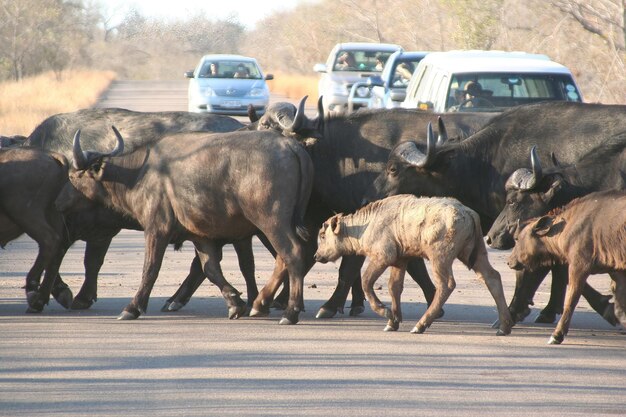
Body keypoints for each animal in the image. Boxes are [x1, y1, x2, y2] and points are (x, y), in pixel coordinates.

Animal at [56, 128, 314, 324]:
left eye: (74, 176)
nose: (60, 200)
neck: (139, 173)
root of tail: (290, 145)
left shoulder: (156, 229)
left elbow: (150, 269)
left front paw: (133, 307)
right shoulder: (199, 236)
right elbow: (210, 268)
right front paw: (234, 302)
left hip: (271, 223)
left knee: (293, 254)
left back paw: (290, 311)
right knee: (284, 259)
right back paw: (261, 304)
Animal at [312, 194, 512, 334]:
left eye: (322, 236)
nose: (316, 255)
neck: (366, 225)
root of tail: (469, 213)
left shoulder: (383, 257)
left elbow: (367, 282)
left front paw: (385, 312)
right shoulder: (400, 260)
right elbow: (394, 287)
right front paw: (393, 321)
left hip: (439, 258)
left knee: (446, 285)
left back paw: (420, 325)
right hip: (476, 256)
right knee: (492, 277)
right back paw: (504, 327)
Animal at [508, 189, 624, 344]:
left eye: (517, 238)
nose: (510, 261)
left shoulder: (579, 266)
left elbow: (571, 299)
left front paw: (557, 335)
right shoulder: (617, 271)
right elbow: (620, 305)